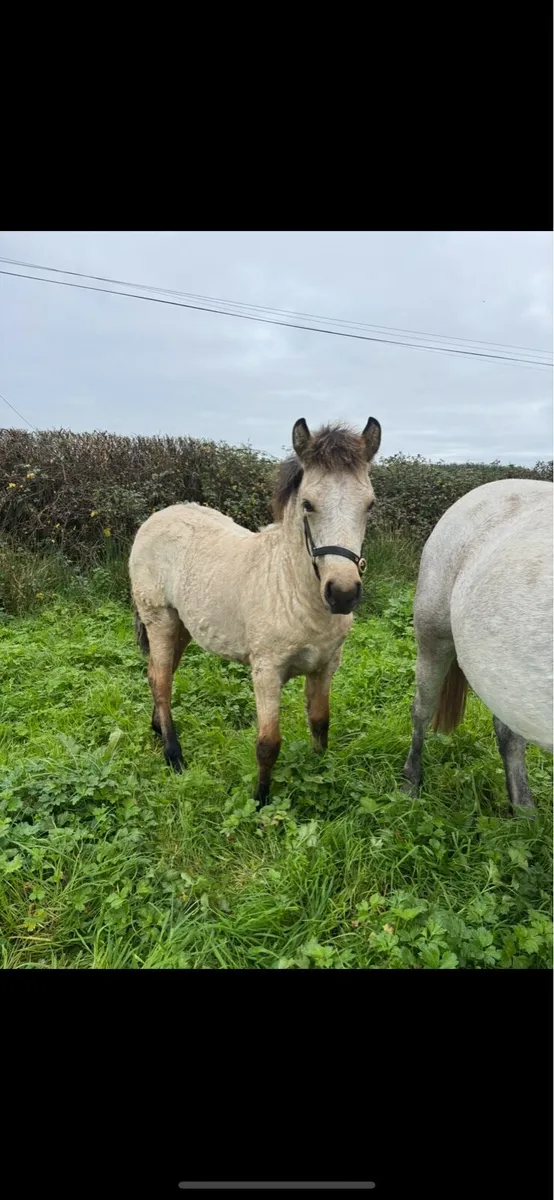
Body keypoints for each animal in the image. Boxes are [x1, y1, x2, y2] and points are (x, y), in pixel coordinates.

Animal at [129, 416, 382, 805]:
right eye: (308, 504)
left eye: (369, 505)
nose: (342, 594)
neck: (291, 589)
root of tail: (157, 518)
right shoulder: (266, 670)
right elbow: (268, 743)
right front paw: (260, 799)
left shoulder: (326, 666)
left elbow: (320, 722)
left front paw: (320, 773)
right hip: (159, 619)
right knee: (160, 678)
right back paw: (174, 755)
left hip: (183, 626)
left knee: (160, 672)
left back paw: (157, 729)